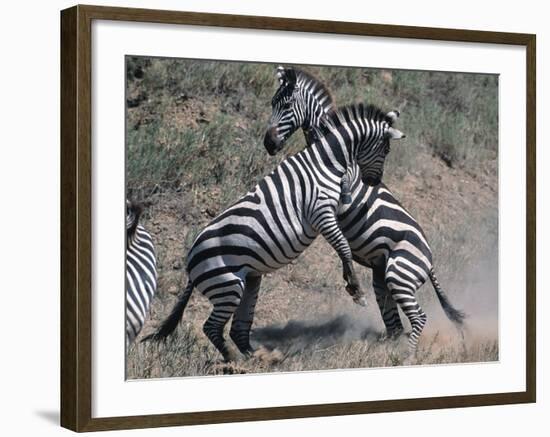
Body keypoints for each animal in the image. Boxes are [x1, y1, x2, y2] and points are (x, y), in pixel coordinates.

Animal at [146, 102, 406, 362]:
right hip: (227, 285)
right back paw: (235, 360)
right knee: (211, 327)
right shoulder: (320, 212)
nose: (374, 182)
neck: (325, 162)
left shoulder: (331, 209)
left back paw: (255, 356)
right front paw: (355, 289)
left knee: (237, 327)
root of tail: (190, 261)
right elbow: (343, 247)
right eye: (386, 150)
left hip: (248, 280)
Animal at [264, 64, 466, 350]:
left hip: (399, 274)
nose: (268, 144)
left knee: (416, 317)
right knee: (394, 322)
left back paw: (404, 354)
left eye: (288, 105)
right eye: (272, 103)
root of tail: (430, 260)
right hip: (384, 277)